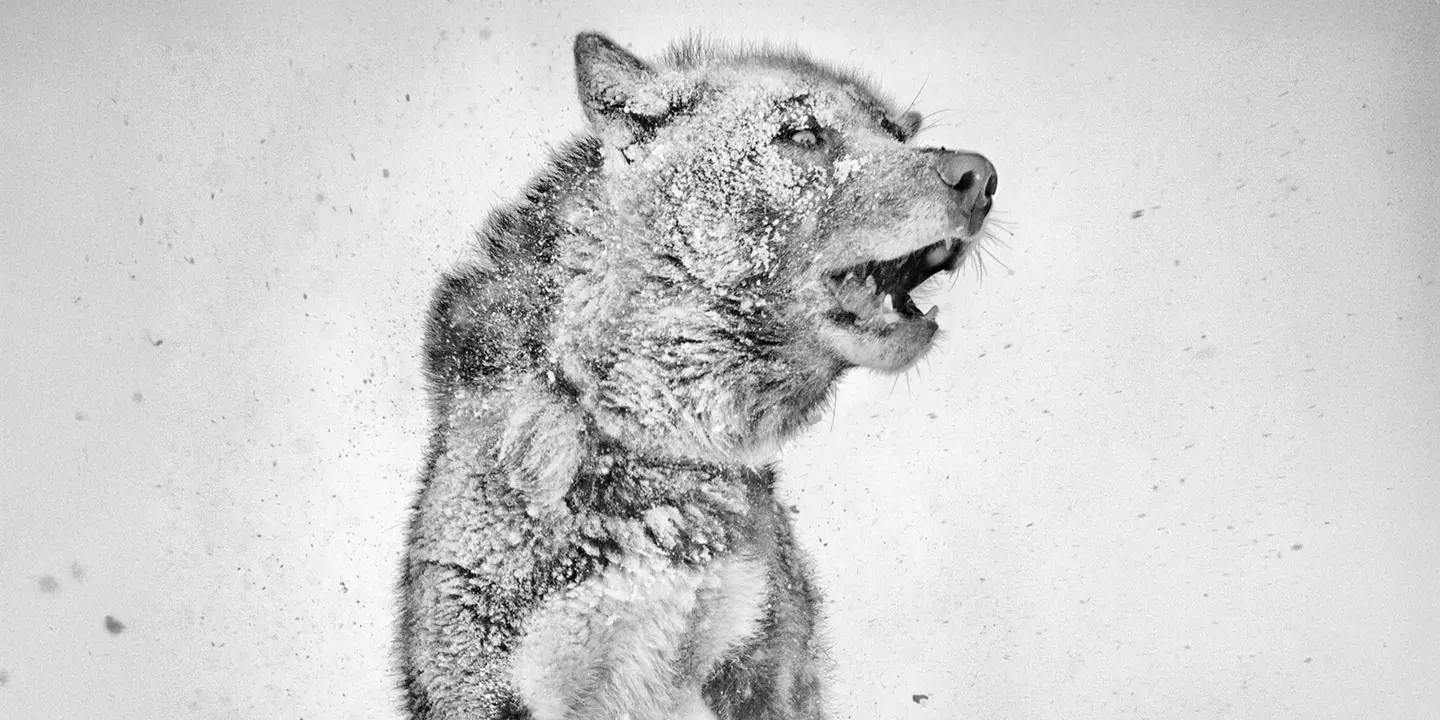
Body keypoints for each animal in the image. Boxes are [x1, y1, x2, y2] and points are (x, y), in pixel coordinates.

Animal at [397, 32, 998, 720]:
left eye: (895, 133)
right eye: (801, 134)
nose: (981, 177)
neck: (655, 451)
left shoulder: (760, 671)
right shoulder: (494, 689)